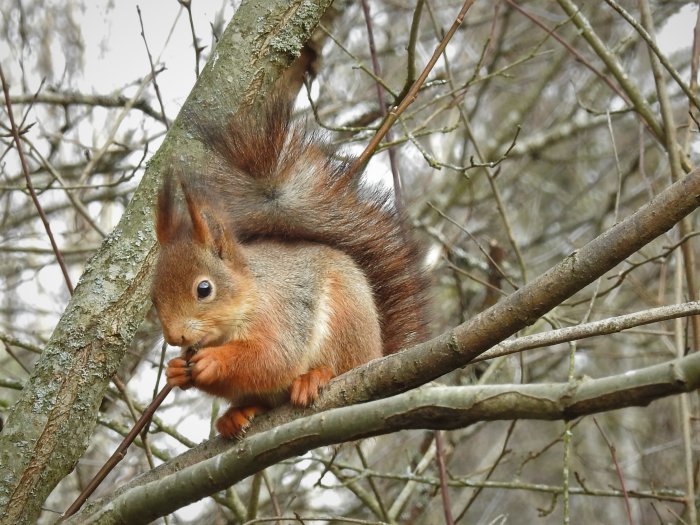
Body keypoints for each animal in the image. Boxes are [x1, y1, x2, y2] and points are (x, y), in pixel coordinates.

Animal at [150, 95, 430, 438]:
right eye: (153, 298)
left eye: (204, 289)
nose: (175, 338)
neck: (249, 292)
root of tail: (378, 354)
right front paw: (176, 371)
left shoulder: (280, 313)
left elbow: (273, 357)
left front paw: (213, 362)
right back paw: (236, 415)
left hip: (346, 323)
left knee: (338, 365)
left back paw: (315, 377)